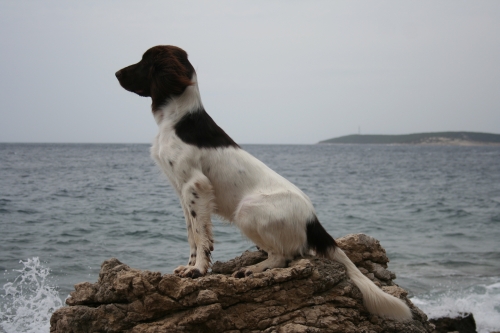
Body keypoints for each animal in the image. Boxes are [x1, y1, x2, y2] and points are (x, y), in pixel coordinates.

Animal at [115, 44, 412, 320]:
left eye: (144, 61)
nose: (116, 73)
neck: (178, 120)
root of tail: (312, 219)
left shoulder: (195, 185)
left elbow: (200, 236)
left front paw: (198, 270)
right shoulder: (182, 191)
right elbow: (192, 234)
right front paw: (188, 266)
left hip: (246, 210)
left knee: (283, 257)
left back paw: (253, 268)